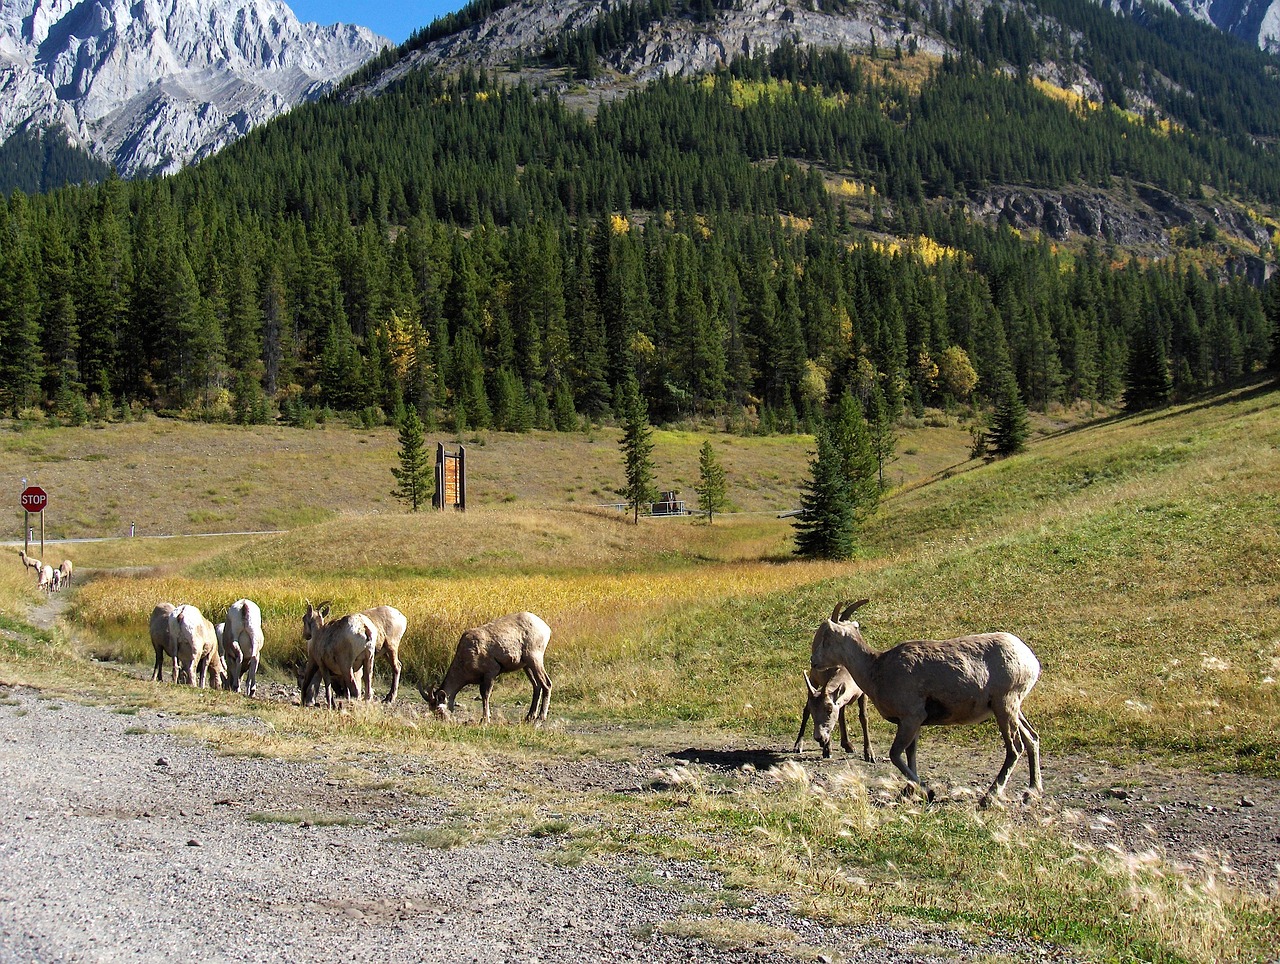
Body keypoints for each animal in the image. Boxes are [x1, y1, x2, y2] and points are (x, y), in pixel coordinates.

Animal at [422, 609, 552, 722]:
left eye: (439, 709)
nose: (445, 721)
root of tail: (546, 628)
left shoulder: (490, 673)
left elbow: (485, 695)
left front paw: (485, 720)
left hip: (535, 658)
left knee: (546, 684)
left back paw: (541, 717)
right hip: (526, 665)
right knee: (536, 686)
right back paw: (529, 717)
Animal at [808, 601, 1039, 803]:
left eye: (826, 636)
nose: (813, 661)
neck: (877, 669)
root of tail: (1030, 659)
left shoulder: (911, 718)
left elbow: (895, 754)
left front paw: (927, 791)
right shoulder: (914, 723)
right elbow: (911, 754)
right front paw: (909, 791)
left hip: (1005, 706)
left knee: (1015, 748)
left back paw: (989, 797)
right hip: (1012, 708)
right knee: (1032, 739)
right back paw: (1031, 793)